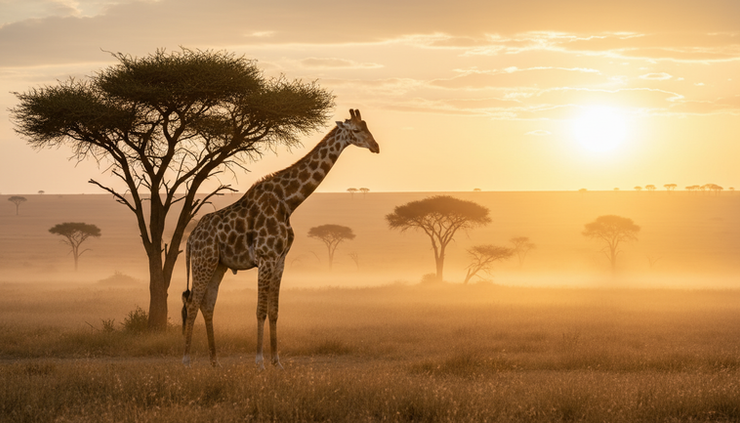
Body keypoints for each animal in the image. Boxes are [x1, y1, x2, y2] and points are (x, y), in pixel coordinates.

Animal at [182, 109, 379, 369]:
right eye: (356, 130)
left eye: (367, 128)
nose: (376, 146)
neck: (288, 201)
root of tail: (191, 238)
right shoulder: (266, 257)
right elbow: (260, 310)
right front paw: (259, 361)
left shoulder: (280, 259)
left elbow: (274, 311)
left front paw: (277, 361)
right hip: (203, 261)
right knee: (193, 302)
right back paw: (186, 360)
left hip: (218, 265)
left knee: (207, 305)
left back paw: (215, 362)